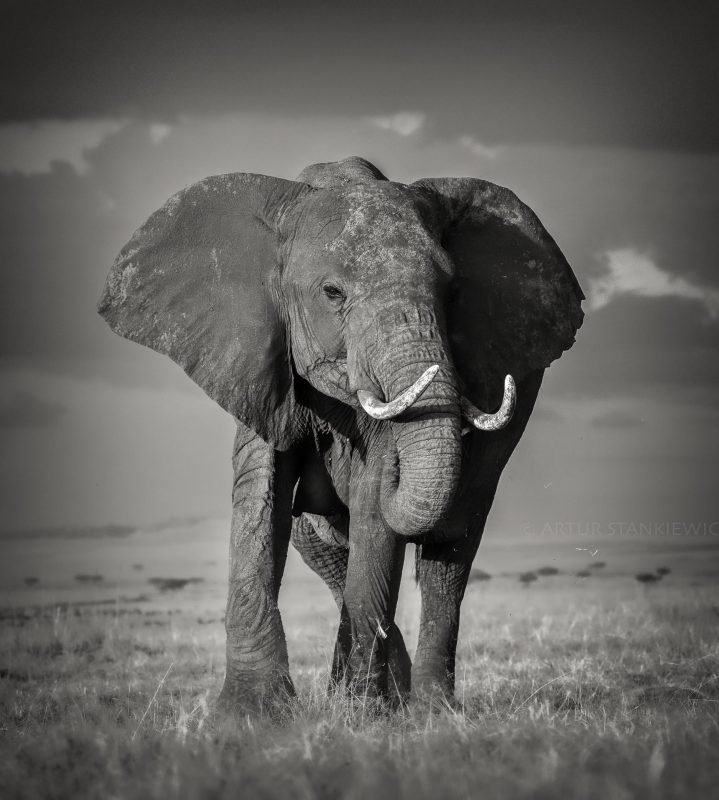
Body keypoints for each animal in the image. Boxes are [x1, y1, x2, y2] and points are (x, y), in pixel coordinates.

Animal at [98, 155, 584, 712]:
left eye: (453, 293)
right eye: (333, 293)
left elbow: (377, 508)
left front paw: (356, 713)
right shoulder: (257, 356)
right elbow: (261, 494)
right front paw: (251, 713)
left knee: (451, 549)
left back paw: (428, 708)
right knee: (327, 548)